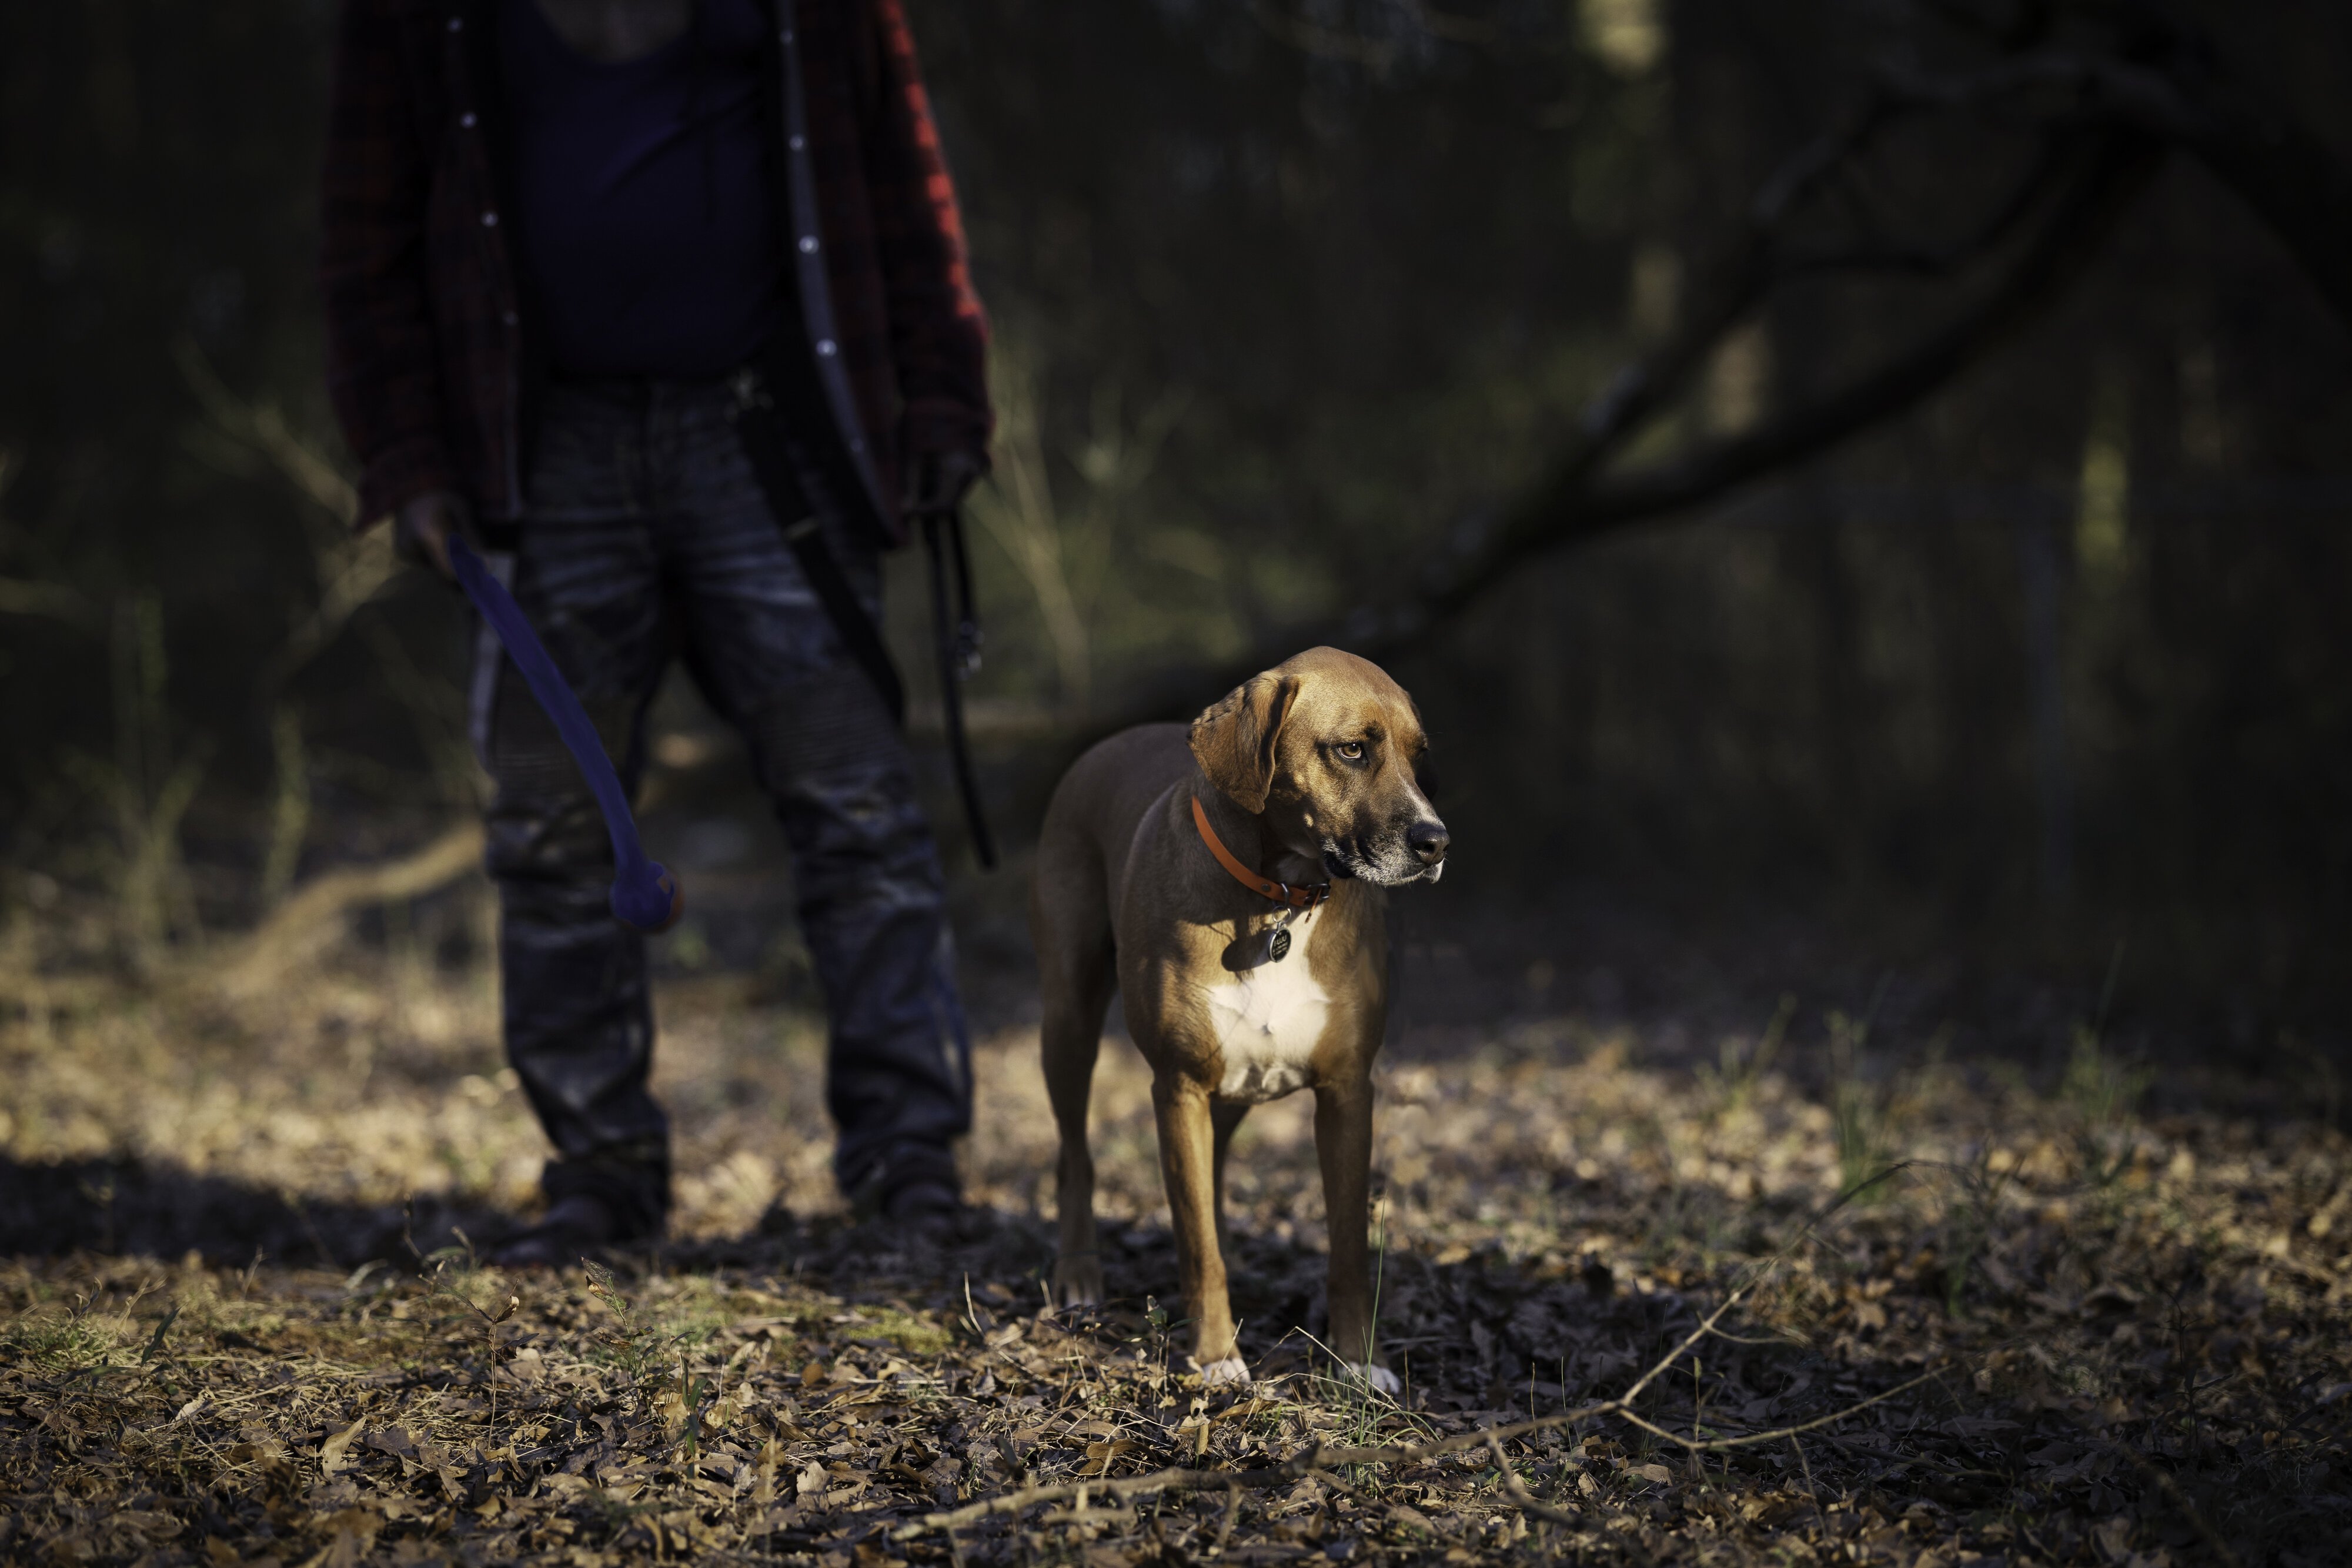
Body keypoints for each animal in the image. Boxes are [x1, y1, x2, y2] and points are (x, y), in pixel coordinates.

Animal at [1035, 648, 1449, 1382]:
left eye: (1417, 753)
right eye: (1351, 750)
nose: (1437, 842)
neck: (1277, 898)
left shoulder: (1347, 1093)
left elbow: (1347, 1246)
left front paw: (1354, 1360)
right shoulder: (1177, 1090)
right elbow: (1195, 1240)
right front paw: (1215, 1357)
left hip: (1230, 1089)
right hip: (1069, 1021)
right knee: (1075, 1156)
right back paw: (1079, 1275)